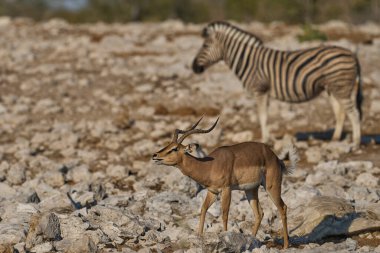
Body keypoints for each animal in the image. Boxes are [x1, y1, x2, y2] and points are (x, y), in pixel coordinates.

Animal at [193, 21, 362, 147]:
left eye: (205, 46)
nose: (194, 67)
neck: (249, 61)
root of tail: (351, 53)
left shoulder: (260, 90)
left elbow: (262, 116)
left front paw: (265, 140)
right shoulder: (266, 92)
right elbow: (265, 117)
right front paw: (267, 139)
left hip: (341, 87)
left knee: (354, 113)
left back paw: (356, 142)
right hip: (333, 88)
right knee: (341, 112)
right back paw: (335, 139)